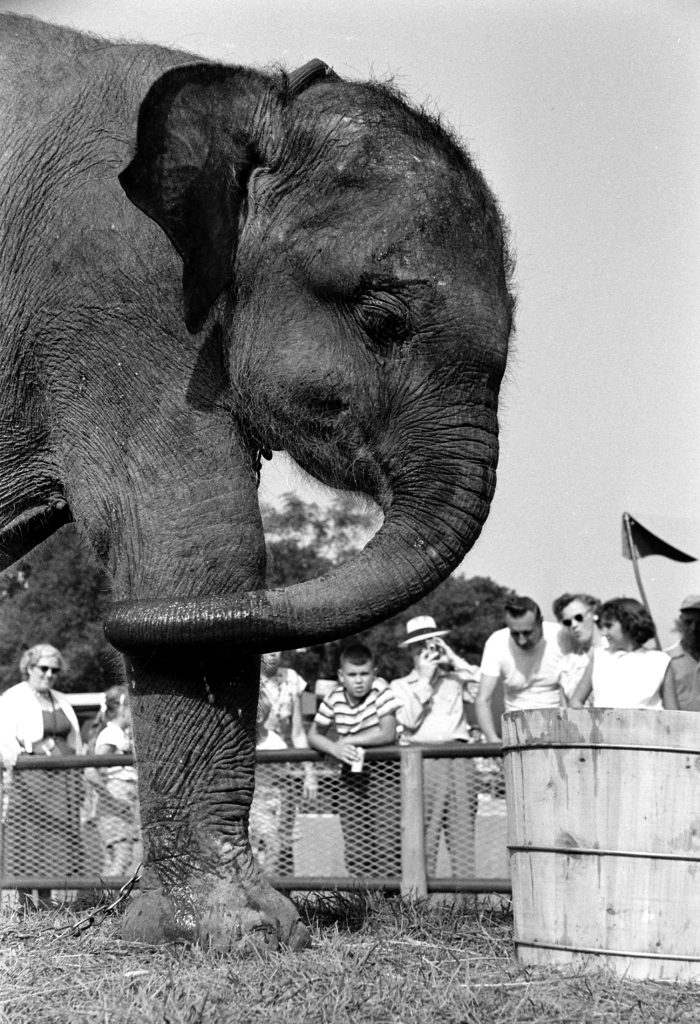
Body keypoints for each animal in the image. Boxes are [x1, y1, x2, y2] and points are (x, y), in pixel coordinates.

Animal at [0, 14, 513, 950]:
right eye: (381, 319)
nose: (92, 634)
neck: (255, 95)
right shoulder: (119, 289)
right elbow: (196, 539)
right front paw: (236, 932)